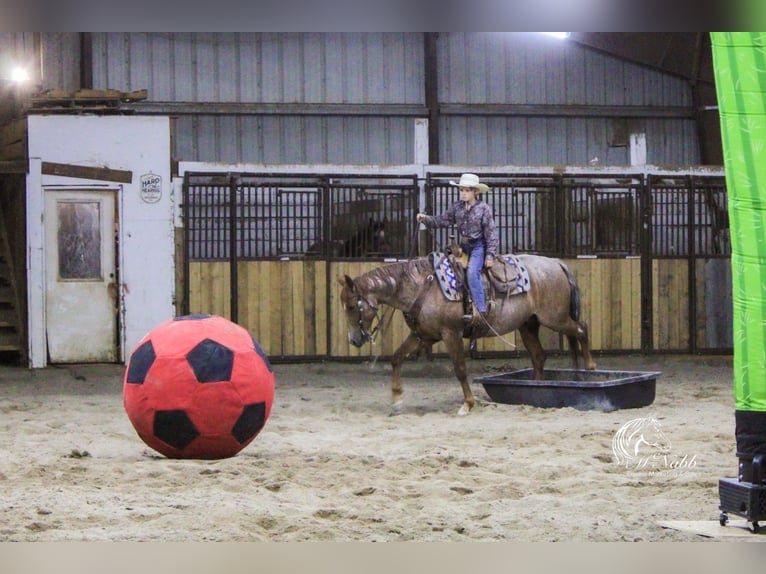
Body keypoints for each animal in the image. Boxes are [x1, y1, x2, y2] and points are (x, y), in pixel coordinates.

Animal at [342, 258, 600, 418]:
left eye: (352, 306)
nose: (353, 340)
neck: (422, 289)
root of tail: (557, 263)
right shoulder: (424, 336)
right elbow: (396, 358)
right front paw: (396, 401)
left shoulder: (451, 334)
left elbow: (460, 369)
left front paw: (467, 404)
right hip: (529, 324)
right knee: (538, 356)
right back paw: (534, 391)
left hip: (555, 318)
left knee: (582, 328)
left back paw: (590, 367)